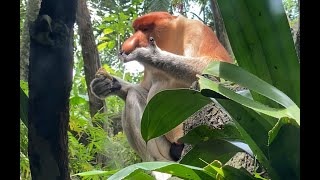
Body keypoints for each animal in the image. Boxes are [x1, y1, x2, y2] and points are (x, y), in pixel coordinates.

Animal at [90, 11, 232, 162]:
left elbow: (217, 69)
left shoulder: (197, 29)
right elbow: (145, 89)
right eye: (136, 30)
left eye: (145, 29)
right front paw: (105, 85)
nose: (129, 44)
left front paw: (147, 54)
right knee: (134, 94)